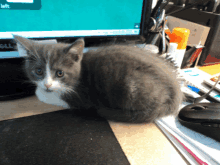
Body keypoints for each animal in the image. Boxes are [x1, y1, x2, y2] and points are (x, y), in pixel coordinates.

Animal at [12, 35, 183, 122]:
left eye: (60, 73)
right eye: (39, 71)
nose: (47, 84)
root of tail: (175, 93)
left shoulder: (80, 97)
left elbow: (53, 97)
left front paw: (41, 92)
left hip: (131, 88)